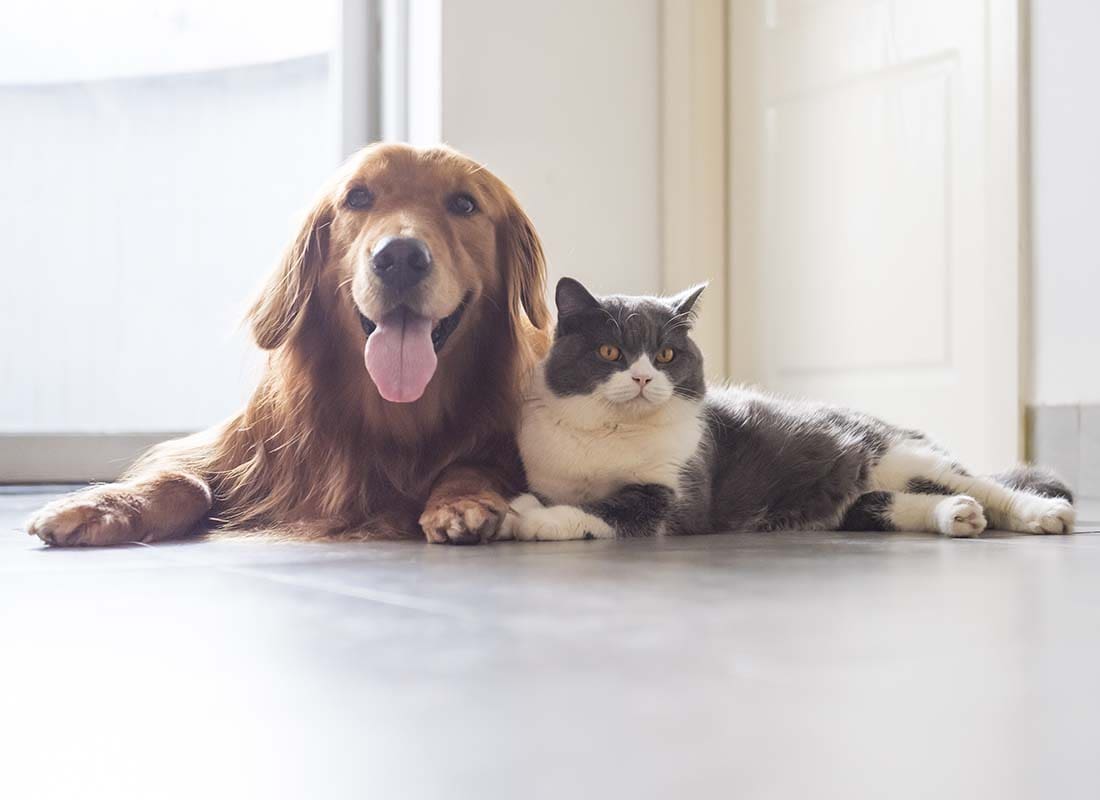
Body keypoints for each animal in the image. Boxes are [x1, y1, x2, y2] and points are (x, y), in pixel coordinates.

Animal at [27, 141, 550, 543]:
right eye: (358, 197)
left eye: (464, 205)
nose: (400, 257)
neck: (391, 417)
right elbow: (187, 479)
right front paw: (101, 504)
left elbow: (470, 464)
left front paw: (460, 501)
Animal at [503, 277, 1078, 543]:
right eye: (609, 353)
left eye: (665, 355)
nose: (643, 377)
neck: (610, 433)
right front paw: (525, 506)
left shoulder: (674, 496)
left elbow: (611, 511)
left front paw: (530, 518)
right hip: (854, 494)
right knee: (883, 505)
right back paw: (957, 515)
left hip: (899, 455)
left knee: (989, 486)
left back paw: (1041, 513)